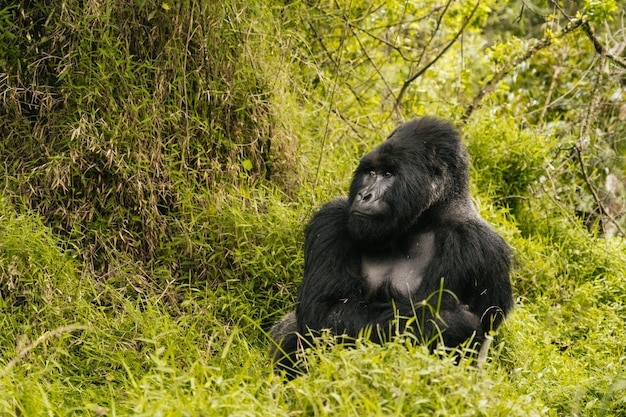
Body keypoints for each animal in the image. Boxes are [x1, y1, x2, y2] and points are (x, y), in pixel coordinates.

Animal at [270, 115, 510, 376]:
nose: (364, 195)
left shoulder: (482, 249)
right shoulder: (330, 219)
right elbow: (325, 311)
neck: (422, 222)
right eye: (371, 172)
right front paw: (450, 323)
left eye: (388, 174)